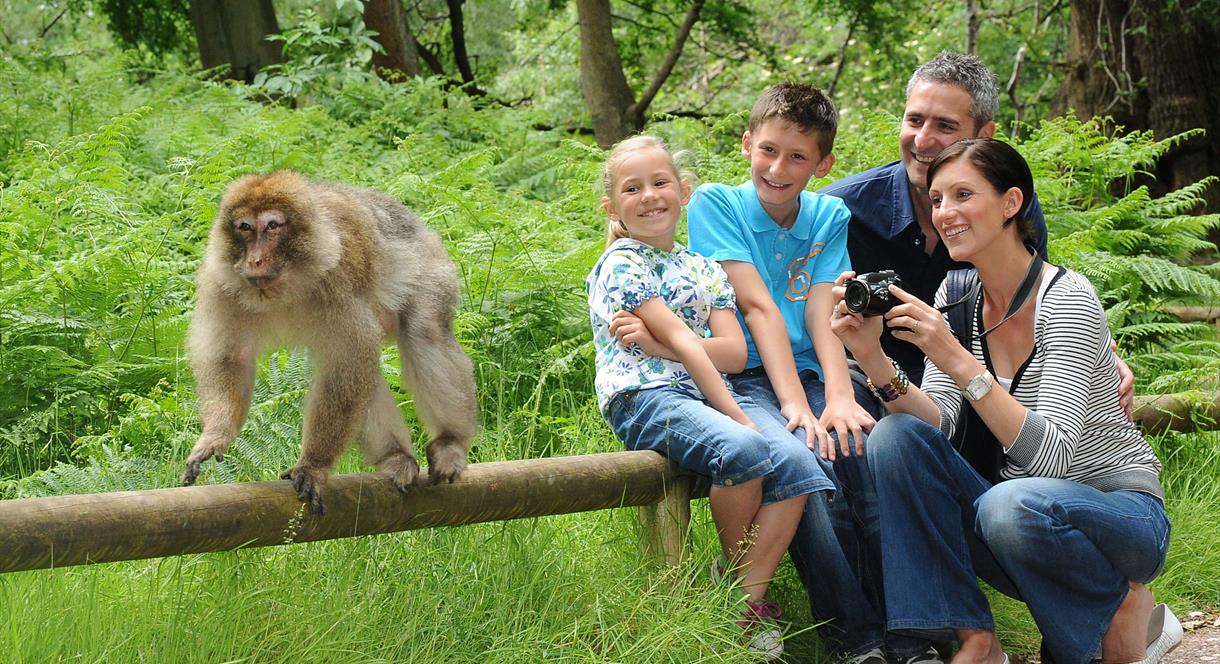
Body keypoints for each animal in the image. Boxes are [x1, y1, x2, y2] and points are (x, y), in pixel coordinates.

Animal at [183, 170, 478, 512]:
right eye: (245, 228)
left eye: (272, 226)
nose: (254, 260)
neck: (285, 287)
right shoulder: (221, 285)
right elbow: (231, 358)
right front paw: (216, 434)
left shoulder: (337, 277)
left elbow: (347, 361)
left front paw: (313, 465)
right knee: (369, 373)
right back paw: (396, 457)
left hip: (431, 269)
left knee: (424, 333)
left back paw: (451, 443)